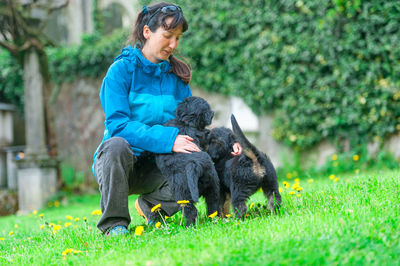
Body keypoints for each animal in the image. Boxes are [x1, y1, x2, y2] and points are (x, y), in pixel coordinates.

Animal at [155, 96, 219, 225]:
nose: (213, 113)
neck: (186, 122)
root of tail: (194, 165)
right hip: (212, 183)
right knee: (213, 204)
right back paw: (213, 219)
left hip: (182, 193)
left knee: (190, 210)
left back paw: (188, 226)